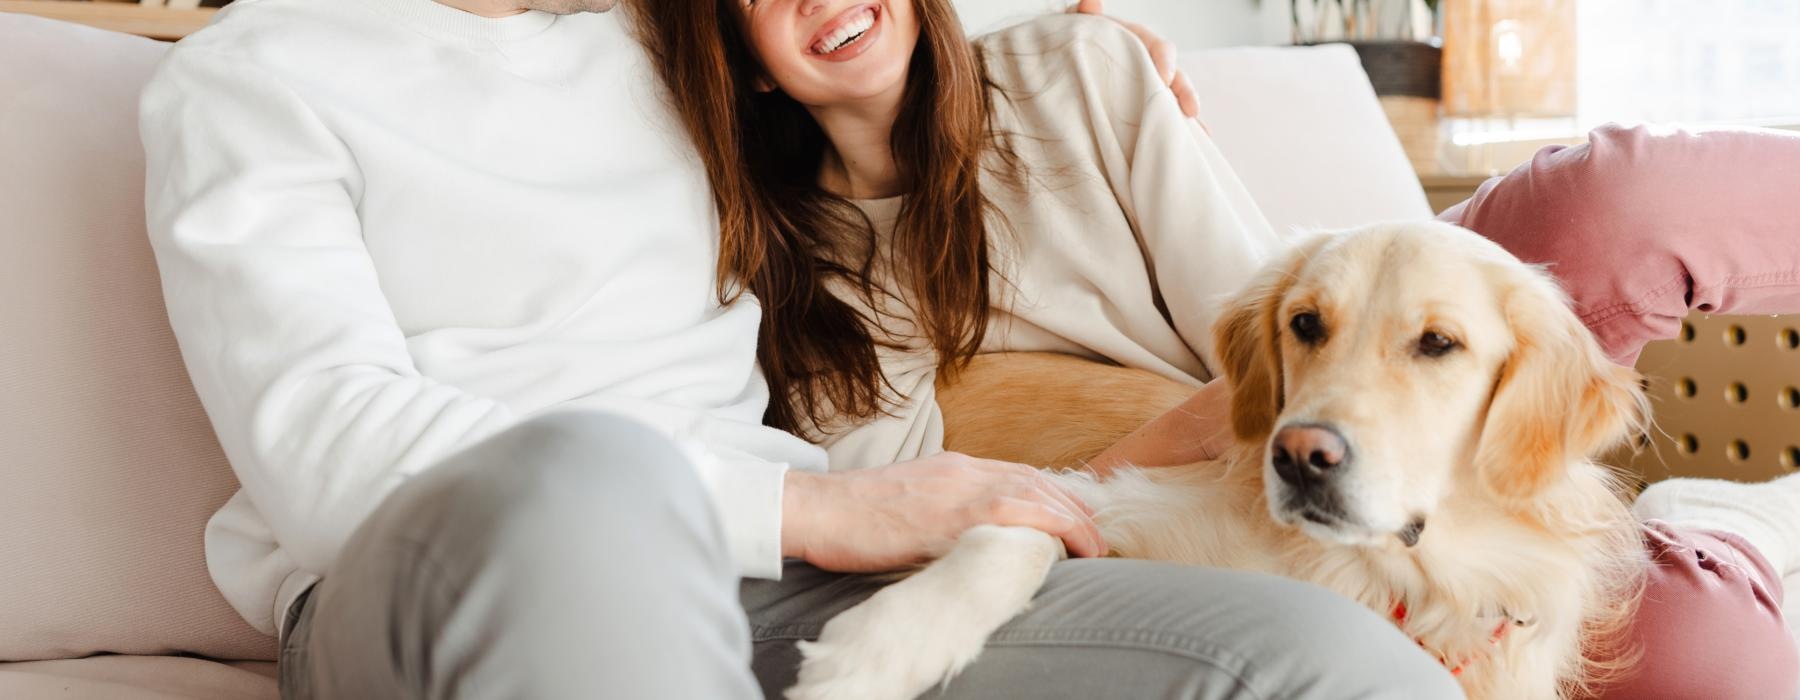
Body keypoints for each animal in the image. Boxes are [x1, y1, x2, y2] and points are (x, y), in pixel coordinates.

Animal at [788, 222, 1648, 698]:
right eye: (1305, 323)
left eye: (1438, 343)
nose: (1300, 457)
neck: (1372, 574)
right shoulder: (1106, 497)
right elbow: (1010, 532)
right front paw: (883, 650)